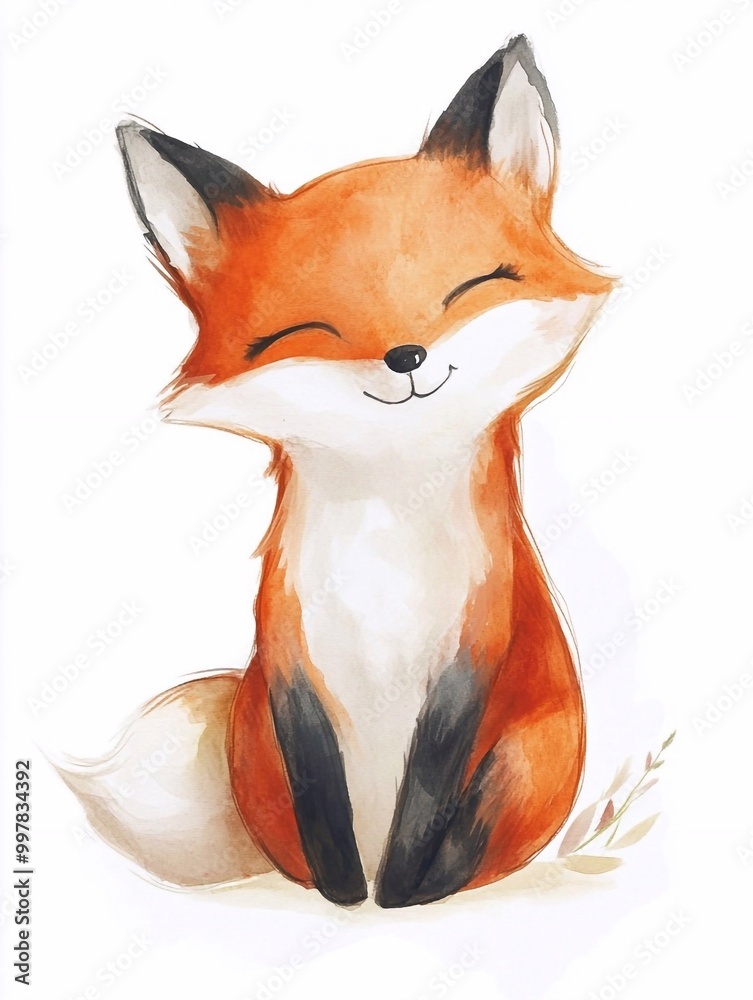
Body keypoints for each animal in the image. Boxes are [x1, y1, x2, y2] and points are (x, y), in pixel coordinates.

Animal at [59, 34, 616, 908]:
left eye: (468, 287)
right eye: (310, 329)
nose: (405, 355)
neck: (384, 550)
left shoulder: (474, 650)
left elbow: (429, 792)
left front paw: (399, 894)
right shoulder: (290, 656)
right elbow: (320, 790)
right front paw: (345, 894)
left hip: (522, 759)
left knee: (477, 835)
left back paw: (435, 885)